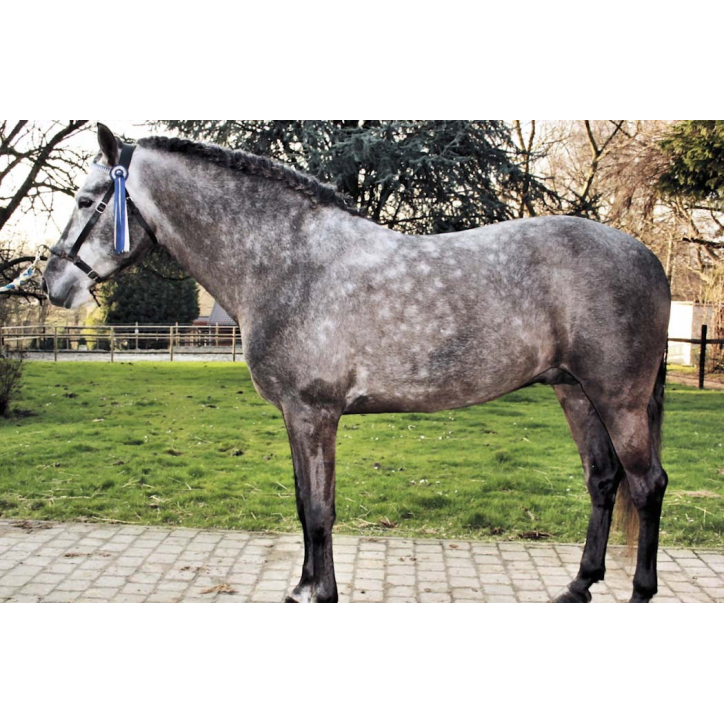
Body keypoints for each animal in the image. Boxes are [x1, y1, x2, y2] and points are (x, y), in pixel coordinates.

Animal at [42, 124, 671, 603]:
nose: (52, 283)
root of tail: (648, 256)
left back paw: (640, 591)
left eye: (85, 200)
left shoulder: (314, 412)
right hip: (575, 392)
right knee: (603, 480)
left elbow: (320, 511)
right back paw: (579, 585)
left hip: (618, 400)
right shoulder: (296, 416)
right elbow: (305, 506)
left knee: (647, 484)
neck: (286, 263)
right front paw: (304, 588)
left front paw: (319, 593)